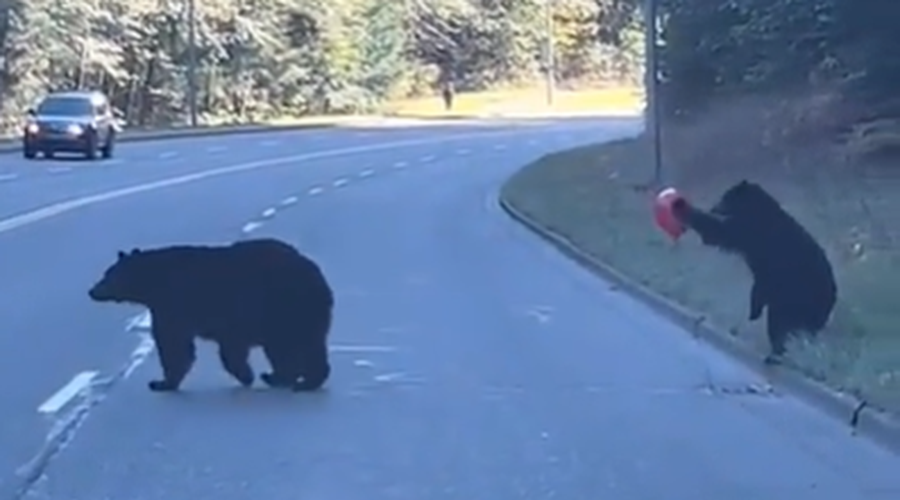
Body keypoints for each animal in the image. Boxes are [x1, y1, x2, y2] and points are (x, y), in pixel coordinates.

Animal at [89, 236, 334, 392]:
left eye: (108, 274)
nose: (92, 291)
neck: (155, 283)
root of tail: (319, 278)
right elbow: (230, 347)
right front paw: (247, 374)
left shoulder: (174, 303)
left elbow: (173, 343)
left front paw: (161, 383)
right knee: (290, 348)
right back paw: (282, 377)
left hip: (286, 307)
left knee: (299, 345)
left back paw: (303, 381)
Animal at [672, 182, 840, 362]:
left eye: (725, 197)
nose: (714, 207)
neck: (756, 209)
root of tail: (831, 298)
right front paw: (754, 312)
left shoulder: (750, 230)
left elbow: (718, 232)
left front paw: (682, 207)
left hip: (796, 299)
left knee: (779, 324)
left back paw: (776, 354)